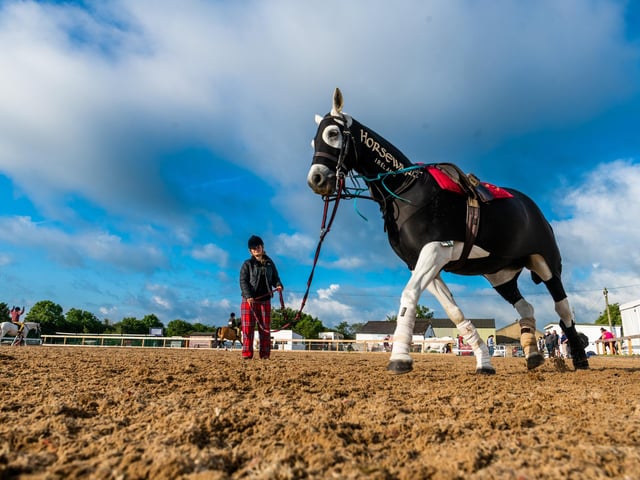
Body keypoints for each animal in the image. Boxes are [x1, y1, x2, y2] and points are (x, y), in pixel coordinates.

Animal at [307, 88, 589, 375]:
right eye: (313, 142)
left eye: (333, 133)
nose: (316, 179)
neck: (407, 190)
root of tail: (535, 212)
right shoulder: (421, 262)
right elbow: (453, 311)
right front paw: (483, 360)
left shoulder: (436, 250)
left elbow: (409, 296)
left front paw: (399, 358)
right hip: (501, 276)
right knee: (527, 307)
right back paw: (532, 354)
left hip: (546, 265)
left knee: (563, 309)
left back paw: (580, 358)